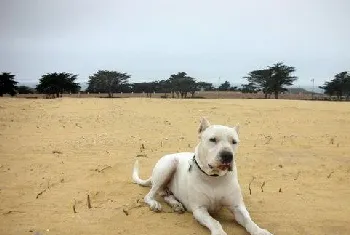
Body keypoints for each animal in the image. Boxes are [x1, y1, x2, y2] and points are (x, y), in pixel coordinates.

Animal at [133, 118, 272, 234]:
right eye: (213, 139)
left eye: (234, 142)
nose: (227, 155)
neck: (214, 178)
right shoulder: (200, 209)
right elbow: (214, 222)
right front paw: (219, 233)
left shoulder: (237, 207)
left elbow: (249, 221)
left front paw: (260, 231)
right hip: (168, 165)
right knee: (150, 194)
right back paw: (155, 204)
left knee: (165, 194)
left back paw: (176, 204)